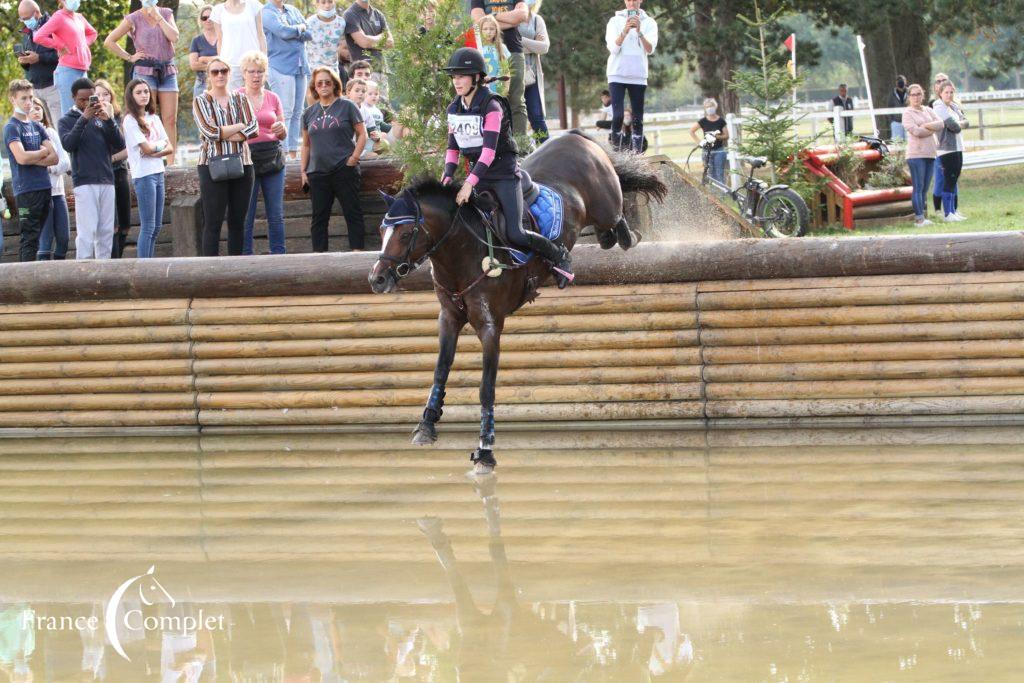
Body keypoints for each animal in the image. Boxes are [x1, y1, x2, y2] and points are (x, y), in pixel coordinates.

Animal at [366, 131, 663, 473]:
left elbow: (486, 387)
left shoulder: (490, 326)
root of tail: (577, 136)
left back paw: (610, 242)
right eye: (382, 230)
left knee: (620, 227)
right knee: (609, 235)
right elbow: (440, 370)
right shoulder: (449, 318)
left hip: (606, 206)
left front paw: (485, 450)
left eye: (405, 233)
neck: (462, 252)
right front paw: (426, 425)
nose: (377, 279)